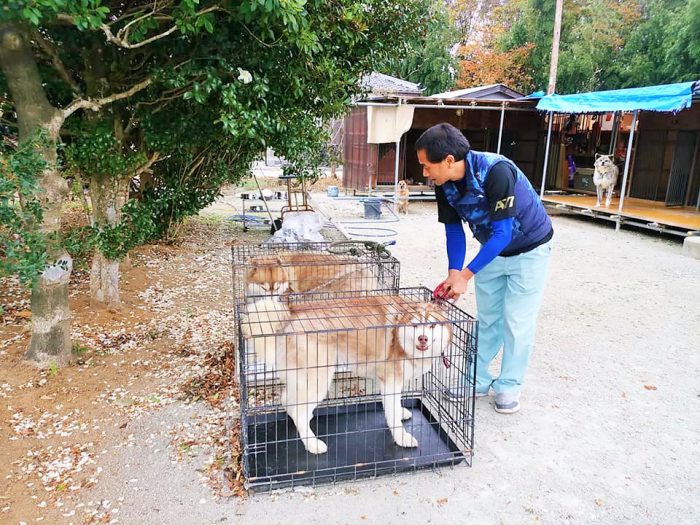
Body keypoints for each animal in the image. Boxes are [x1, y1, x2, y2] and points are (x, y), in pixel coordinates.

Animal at [242, 294, 454, 454]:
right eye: (415, 325)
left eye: (432, 325)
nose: (423, 338)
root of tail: (290, 314)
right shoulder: (391, 379)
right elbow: (392, 412)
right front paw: (402, 437)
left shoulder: (388, 382)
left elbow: (392, 406)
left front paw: (400, 412)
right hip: (318, 379)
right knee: (299, 411)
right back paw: (312, 443)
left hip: (302, 379)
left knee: (289, 401)